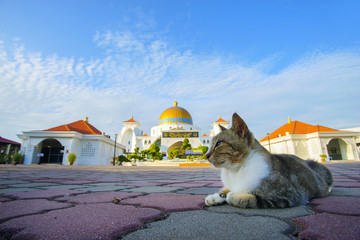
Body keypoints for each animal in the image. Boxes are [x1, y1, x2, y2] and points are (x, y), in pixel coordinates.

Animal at [204, 112, 334, 208]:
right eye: (210, 144)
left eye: (219, 143)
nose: (206, 155)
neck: (235, 170)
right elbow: (226, 189)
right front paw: (215, 196)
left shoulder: (288, 196)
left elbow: (249, 198)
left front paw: (232, 195)